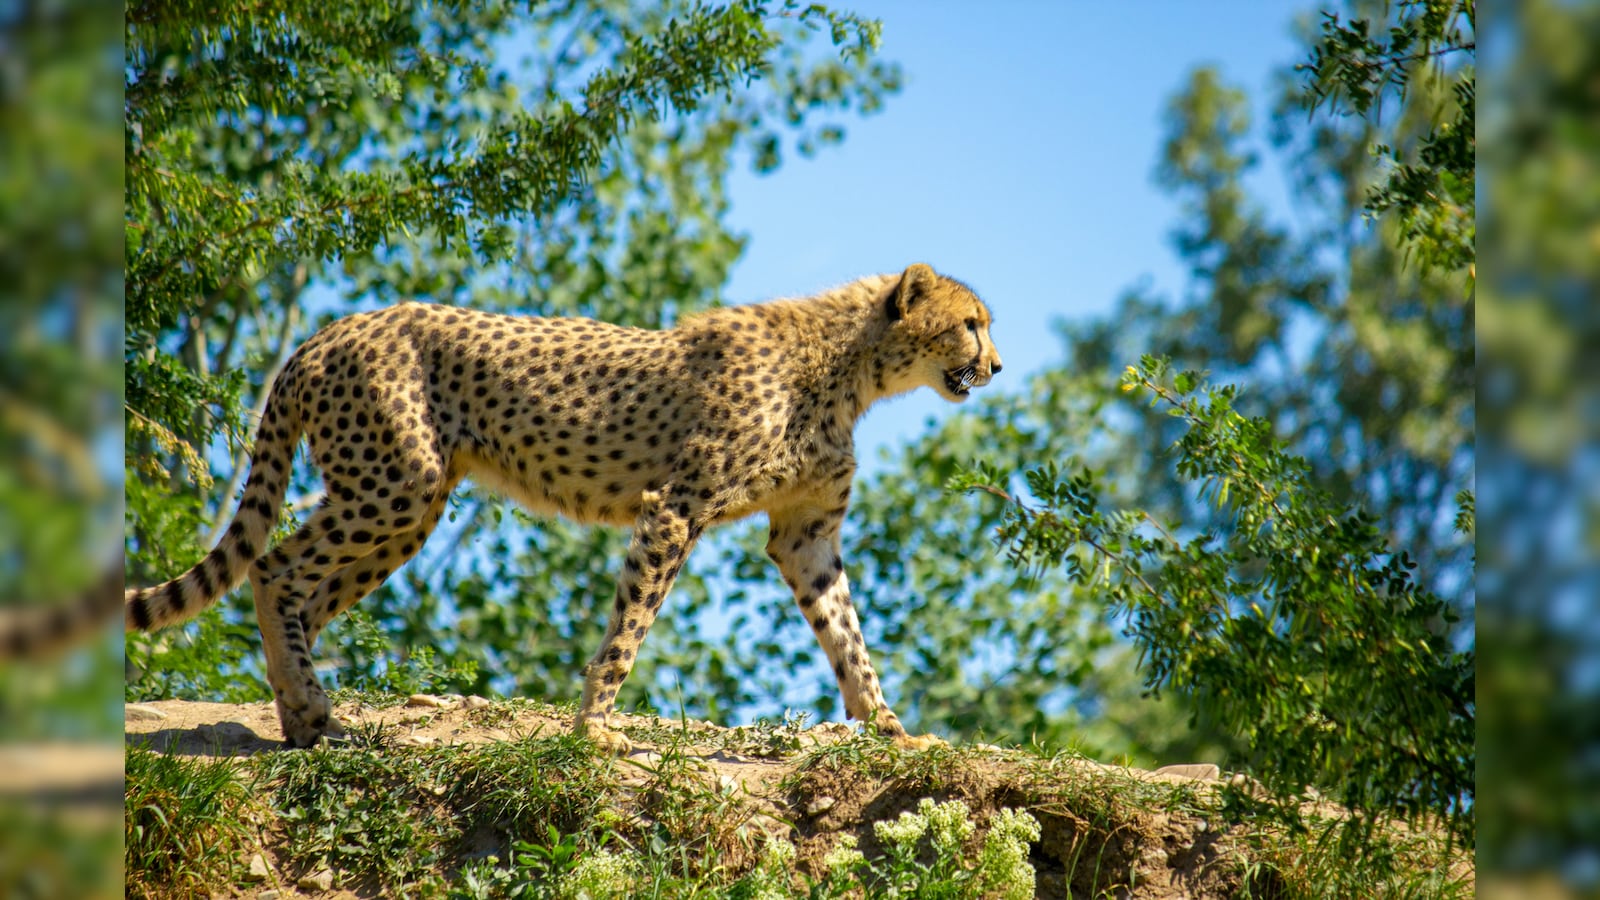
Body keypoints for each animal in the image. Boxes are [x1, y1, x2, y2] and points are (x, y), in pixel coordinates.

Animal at [124, 263, 1003, 752]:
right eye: (970, 323)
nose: (995, 365)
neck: (852, 367)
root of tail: (331, 329)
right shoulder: (675, 506)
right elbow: (630, 626)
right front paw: (597, 730)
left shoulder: (806, 535)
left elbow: (847, 635)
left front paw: (889, 728)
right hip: (392, 483)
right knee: (275, 568)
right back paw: (310, 712)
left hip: (410, 506)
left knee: (303, 590)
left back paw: (309, 721)